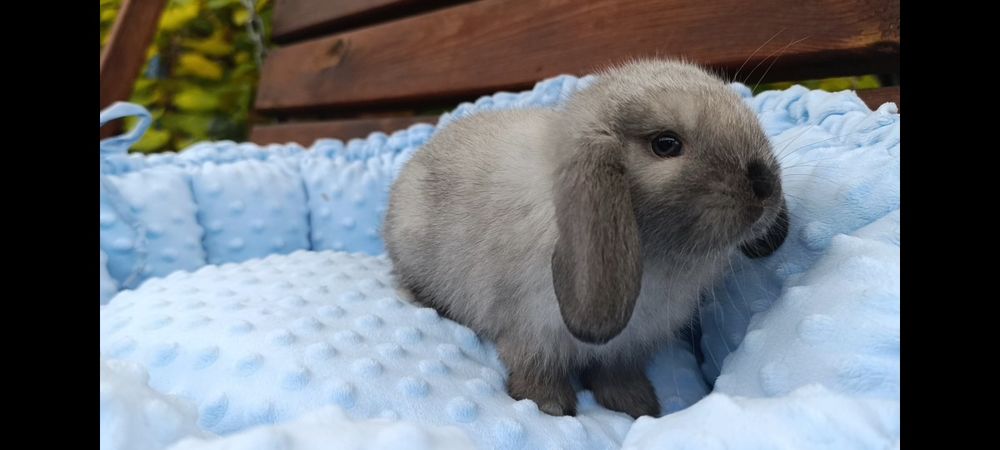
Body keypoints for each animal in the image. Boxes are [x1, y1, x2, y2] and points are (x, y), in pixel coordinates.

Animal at [382, 58, 789, 419]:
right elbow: (536, 367)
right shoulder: (530, 331)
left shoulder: (627, 349)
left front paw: (636, 406)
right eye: (666, 144)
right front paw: (549, 406)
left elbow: (617, 374)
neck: (655, 254)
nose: (765, 184)